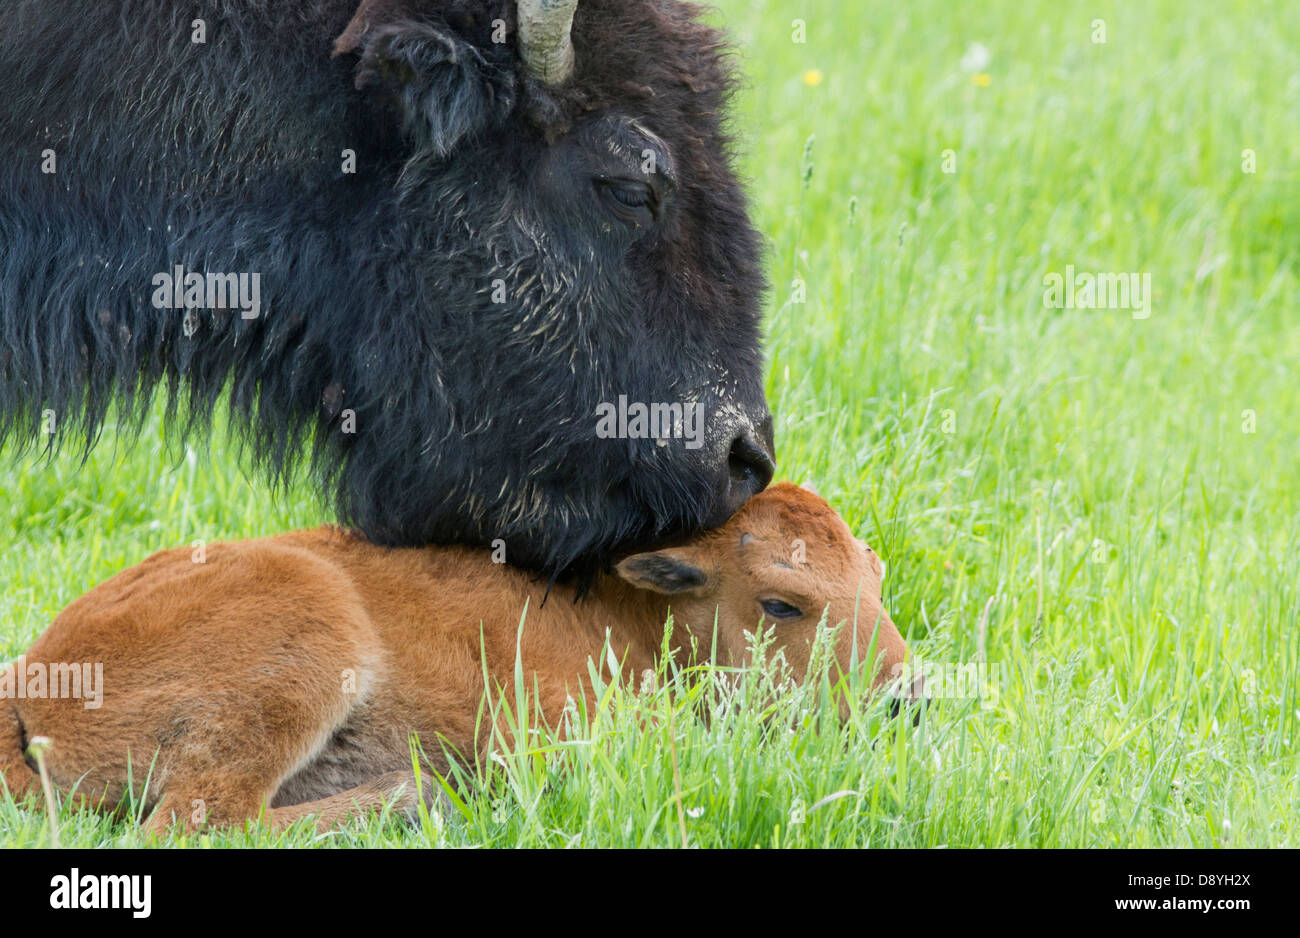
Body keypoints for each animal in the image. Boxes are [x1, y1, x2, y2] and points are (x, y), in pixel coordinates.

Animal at [0, 483, 904, 826]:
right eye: (782, 601)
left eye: (876, 575)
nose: (906, 697)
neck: (631, 606)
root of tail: (26, 686)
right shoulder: (547, 734)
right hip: (308, 634)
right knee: (203, 820)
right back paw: (416, 794)